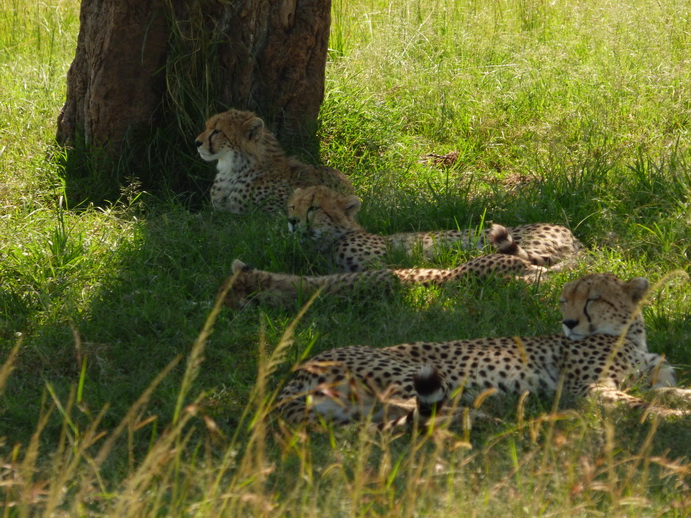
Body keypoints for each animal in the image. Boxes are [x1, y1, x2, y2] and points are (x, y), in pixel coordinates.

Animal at [278, 274, 688, 428]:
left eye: (593, 299)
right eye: (563, 301)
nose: (569, 323)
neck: (630, 336)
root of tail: (297, 371)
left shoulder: (653, 377)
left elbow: (669, 388)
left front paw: (678, 404)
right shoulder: (587, 389)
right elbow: (640, 404)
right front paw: (672, 416)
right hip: (410, 373)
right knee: (418, 411)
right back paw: (489, 418)